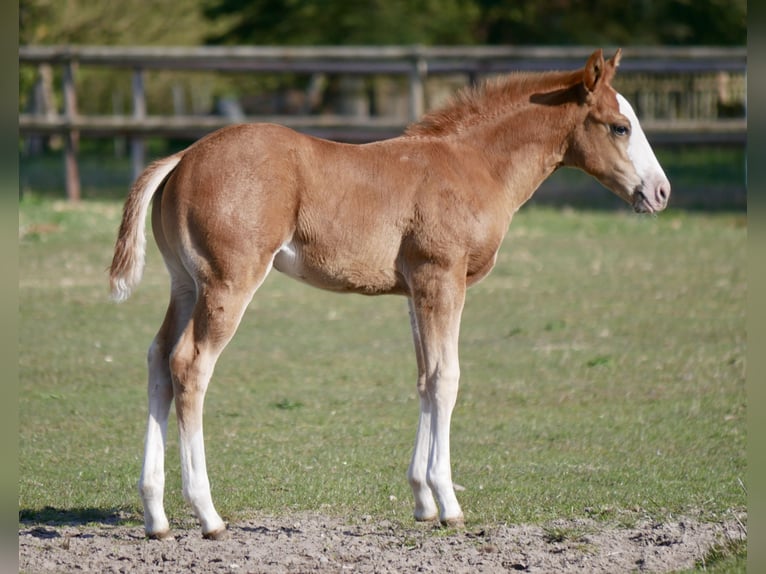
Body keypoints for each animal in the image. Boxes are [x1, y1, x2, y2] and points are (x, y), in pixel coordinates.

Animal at [110, 48, 670, 540]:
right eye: (620, 127)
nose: (661, 192)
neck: (472, 164)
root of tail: (184, 156)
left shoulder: (415, 289)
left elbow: (424, 377)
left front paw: (422, 500)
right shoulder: (442, 278)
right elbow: (447, 379)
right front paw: (449, 504)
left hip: (186, 284)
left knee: (158, 360)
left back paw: (155, 516)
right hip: (228, 281)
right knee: (190, 366)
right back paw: (207, 515)